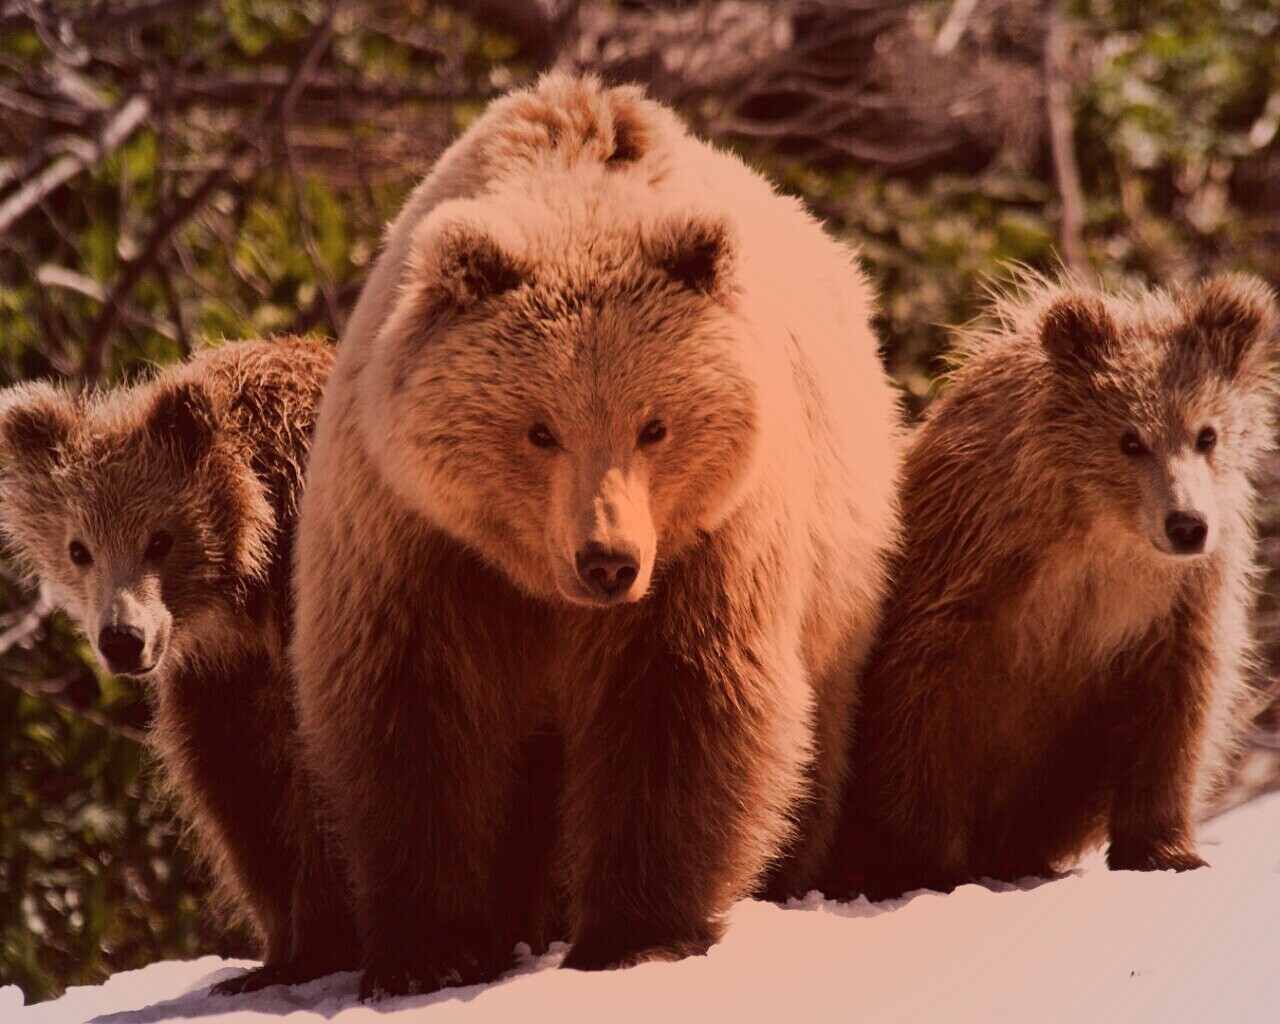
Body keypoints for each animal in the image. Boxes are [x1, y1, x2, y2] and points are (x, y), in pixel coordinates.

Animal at [0, 340, 355, 998]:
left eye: (160, 539)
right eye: (79, 548)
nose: (122, 639)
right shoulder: (221, 682)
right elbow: (241, 795)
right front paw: (278, 955)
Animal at [294, 73, 906, 998]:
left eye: (654, 424)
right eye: (539, 428)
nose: (607, 560)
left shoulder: (706, 545)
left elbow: (681, 703)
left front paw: (635, 934)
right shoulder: (418, 540)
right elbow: (414, 717)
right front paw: (429, 950)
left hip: (838, 583)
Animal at [824, 273, 1274, 906]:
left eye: (1206, 433)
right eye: (1130, 440)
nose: (1186, 524)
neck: (1100, 530)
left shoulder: (1177, 602)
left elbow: (1176, 709)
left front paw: (1167, 852)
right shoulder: (967, 566)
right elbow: (919, 703)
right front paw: (925, 864)